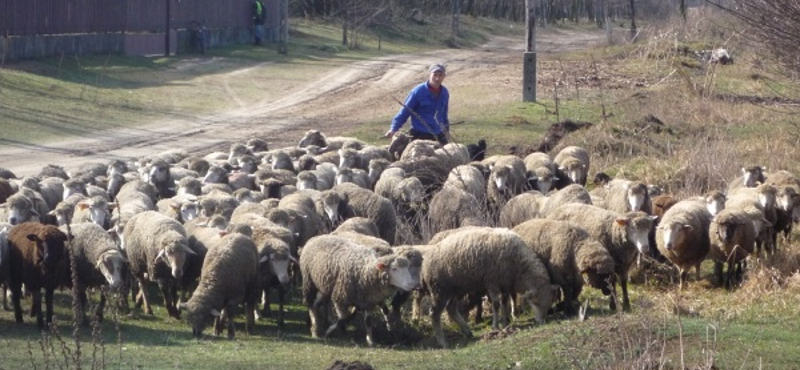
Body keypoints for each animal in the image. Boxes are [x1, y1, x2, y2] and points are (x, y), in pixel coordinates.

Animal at [424, 227, 556, 348]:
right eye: (536, 303)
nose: (542, 322)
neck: (518, 267)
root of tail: (426, 261)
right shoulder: (492, 282)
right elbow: (496, 304)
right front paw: (496, 326)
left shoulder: (505, 284)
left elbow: (504, 302)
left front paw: (505, 322)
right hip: (439, 290)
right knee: (434, 313)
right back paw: (443, 342)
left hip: (456, 289)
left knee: (451, 308)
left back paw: (467, 331)